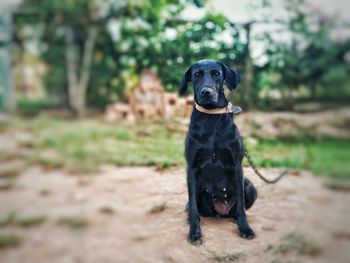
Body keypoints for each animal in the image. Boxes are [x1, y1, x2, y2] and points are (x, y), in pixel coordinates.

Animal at [180, 59, 258, 245]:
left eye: (217, 74)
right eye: (197, 75)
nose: (206, 92)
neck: (211, 118)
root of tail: (220, 213)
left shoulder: (237, 165)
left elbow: (241, 205)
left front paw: (245, 228)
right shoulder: (191, 168)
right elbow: (193, 208)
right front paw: (195, 233)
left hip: (250, 186)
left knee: (238, 208)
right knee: (192, 207)